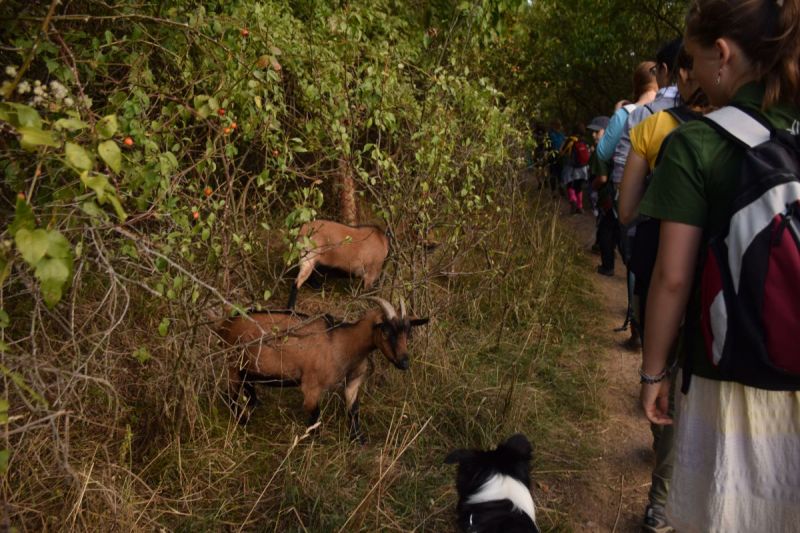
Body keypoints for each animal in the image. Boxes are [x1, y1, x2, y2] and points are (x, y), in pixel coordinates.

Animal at [212, 298, 424, 438]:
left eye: (408, 331)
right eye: (386, 330)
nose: (404, 362)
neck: (343, 343)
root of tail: (224, 325)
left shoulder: (352, 382)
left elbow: (353, 409)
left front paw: (358, 438)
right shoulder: (311, 387)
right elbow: (314, 416)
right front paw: (314, 441)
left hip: (249, 368)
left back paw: (253, 405)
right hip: (233, 364)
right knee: (229, 395)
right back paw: (243, 421)